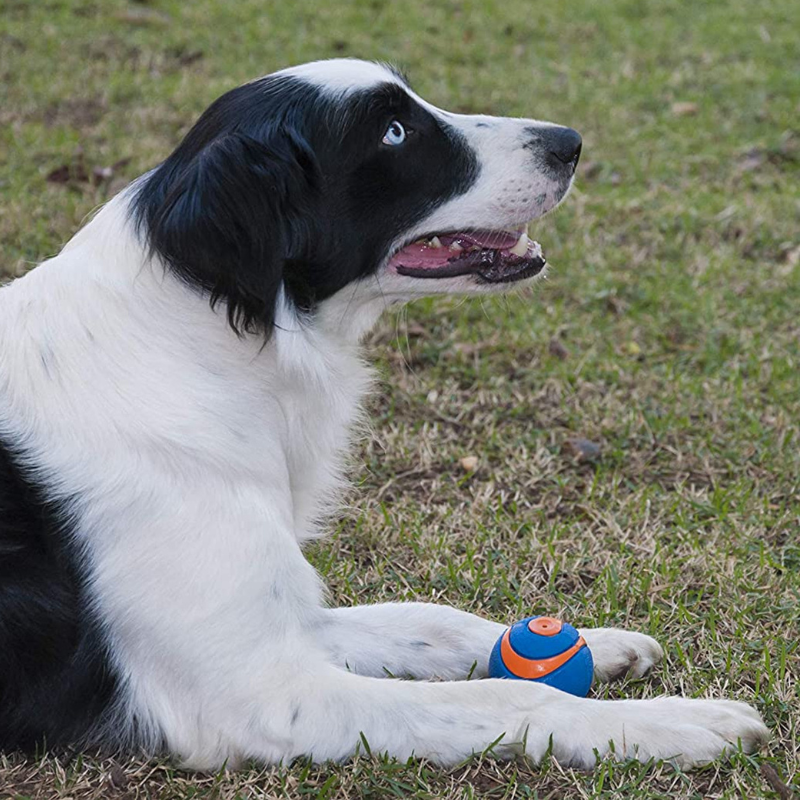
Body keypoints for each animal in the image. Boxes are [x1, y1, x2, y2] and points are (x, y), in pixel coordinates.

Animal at [0, 57, 768, 768]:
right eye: (393, 132)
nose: (570, 142)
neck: (198, 340)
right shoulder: (257, 692)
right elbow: (507, 694)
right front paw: (671, 723)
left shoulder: (289, 617)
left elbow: (432, 621)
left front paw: (597, 642)